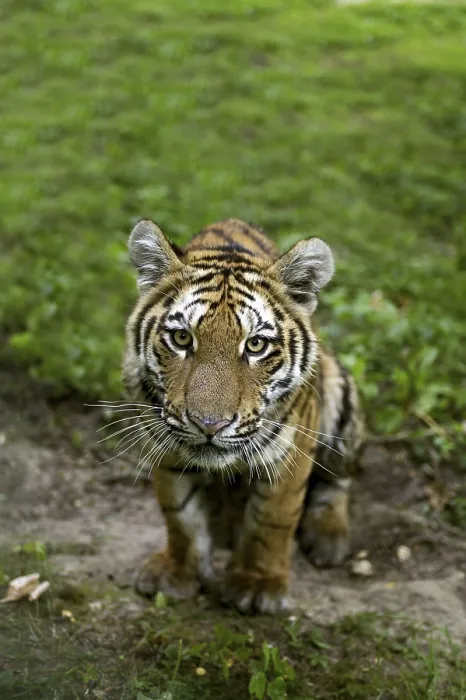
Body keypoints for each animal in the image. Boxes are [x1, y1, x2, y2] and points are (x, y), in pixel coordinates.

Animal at [122, 218, 363, 614]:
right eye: (182, 338)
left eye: (256, 345)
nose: (209, 425)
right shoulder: (165, 445)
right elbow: (180, 515)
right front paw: (177, 572)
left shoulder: (291, 450)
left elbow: (273, 518)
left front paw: (257, 584)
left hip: (339, 395)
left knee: (340, 479)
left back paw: (329, 539)